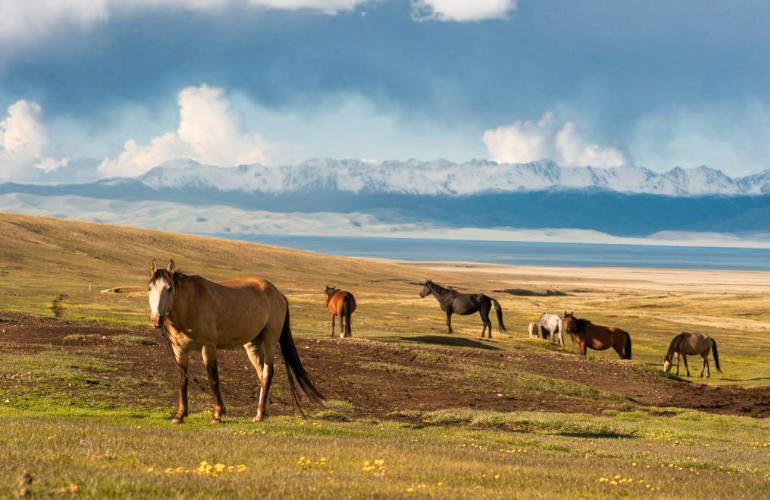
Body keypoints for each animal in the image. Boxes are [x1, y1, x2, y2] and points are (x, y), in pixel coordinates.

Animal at [147, 259, 323, 424]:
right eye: (150, 288)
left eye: (169, 289)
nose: (156, 319)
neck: (190, 304)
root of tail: (279, 294)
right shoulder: (179, 350)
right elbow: (182, 380)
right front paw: (180, 415)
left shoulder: (208, 347)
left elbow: (213, 379)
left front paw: (218, 414)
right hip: (252, 345)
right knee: (261, 375)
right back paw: (262, 413)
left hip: (270, 341)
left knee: (267, 374)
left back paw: (260, 414)